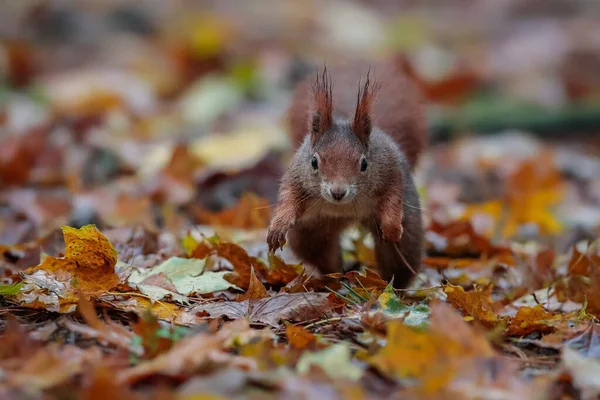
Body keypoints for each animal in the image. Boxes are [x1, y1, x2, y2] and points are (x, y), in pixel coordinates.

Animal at [268, 60, 426, 288]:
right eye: (314, 162)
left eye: (364, 164)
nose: (338, 192)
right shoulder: (296, 176)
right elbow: (288, 198)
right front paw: (278, 227)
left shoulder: (391, 170)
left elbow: (392, 197)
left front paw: (391, 227)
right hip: (313, 232)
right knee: (321, 255)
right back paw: (334, 279)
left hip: (406, 240)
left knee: (399, 262)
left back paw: (390, 287)